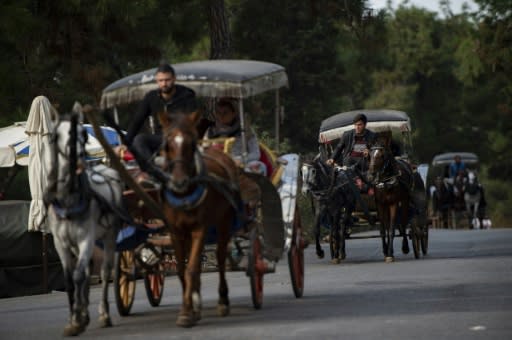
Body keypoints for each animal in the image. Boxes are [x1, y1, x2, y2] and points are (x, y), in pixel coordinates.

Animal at [47, 113, 125, 336]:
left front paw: (77, 320)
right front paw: (75, 318)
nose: (80, 154)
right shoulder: (61, 243)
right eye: (57, 135)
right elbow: (69, 280)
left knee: (105, 272)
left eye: (83, 133)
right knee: (89, 270)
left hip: (109, 235)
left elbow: (78, 275)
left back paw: (104, 314)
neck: (68, 200)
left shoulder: (86, 239)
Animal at [159, 111, 241, 326]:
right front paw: (189, 308)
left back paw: (222, 301)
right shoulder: (175, 232)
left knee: (220, 256)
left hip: (224, 222)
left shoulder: (199, 229)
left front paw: (187, 313)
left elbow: (192, 269)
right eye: (167, 145)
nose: (179, 182)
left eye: (191, 145)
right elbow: (182, 269)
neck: (184, 195)